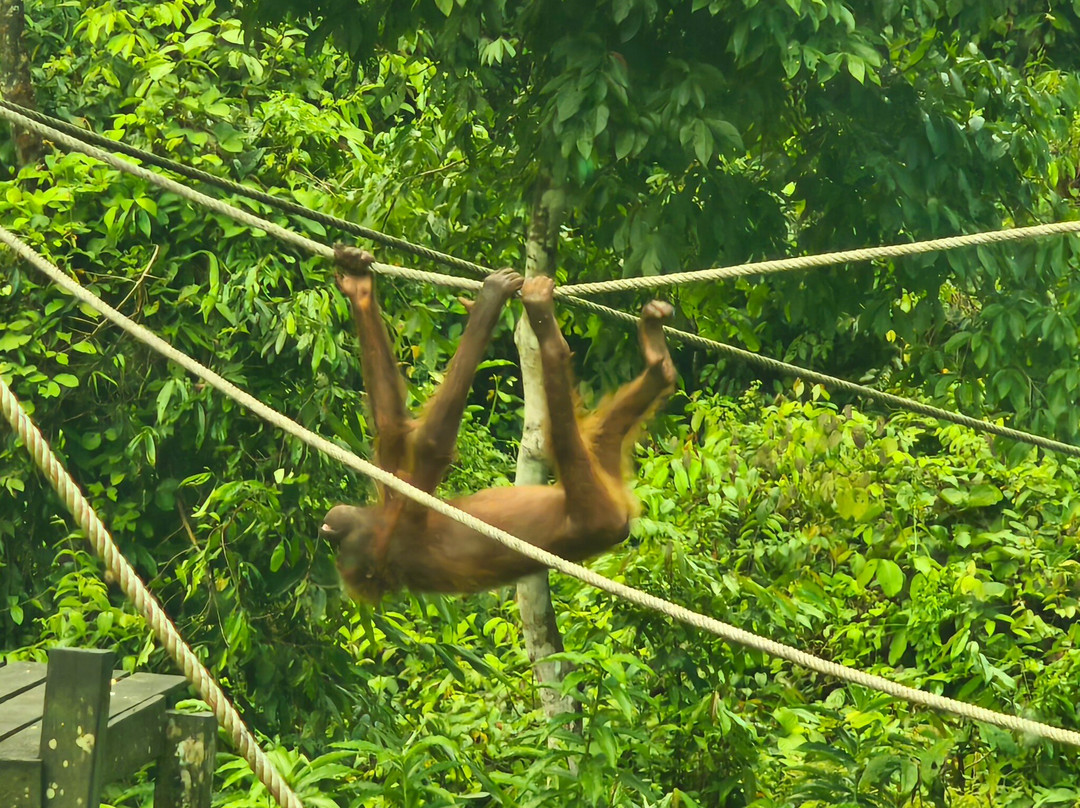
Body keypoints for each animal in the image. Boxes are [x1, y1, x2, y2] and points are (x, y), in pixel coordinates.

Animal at [320, 246, 676, 601]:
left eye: (338, 544)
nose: (328, 528)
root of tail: (621, 518)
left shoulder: (394, 503)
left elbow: (393, 428)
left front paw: (358, 285)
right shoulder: (399, 529)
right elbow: (431, 446)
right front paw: (491, 298)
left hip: (604, 471)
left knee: (603, 435)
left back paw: (657, 360)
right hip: (595, 512)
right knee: (563, 438)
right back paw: (546, 327)